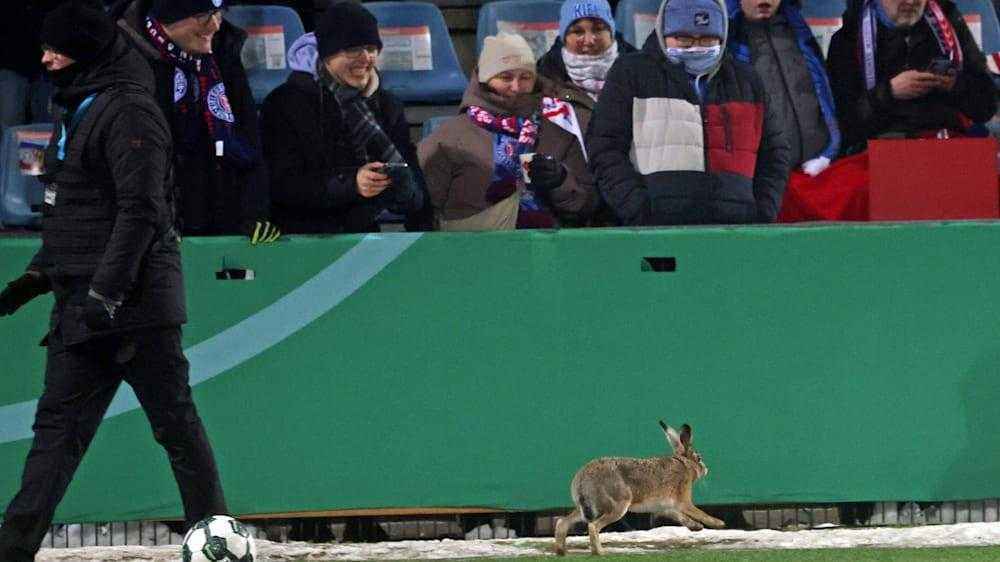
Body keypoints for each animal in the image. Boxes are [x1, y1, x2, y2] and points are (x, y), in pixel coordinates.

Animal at [553, 420, 724, 556]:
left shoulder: (663, 507)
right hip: (618, 505)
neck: (684, 463)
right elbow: (699, 512)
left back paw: (561, 552)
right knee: (593, 526)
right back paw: (600, 552)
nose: (706, 469)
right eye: (699, 458)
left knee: (562, 522)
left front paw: (697, 527)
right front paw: (719, 523)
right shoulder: (683, 500)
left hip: (585, 507)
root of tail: (581, 479)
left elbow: (679, 516)